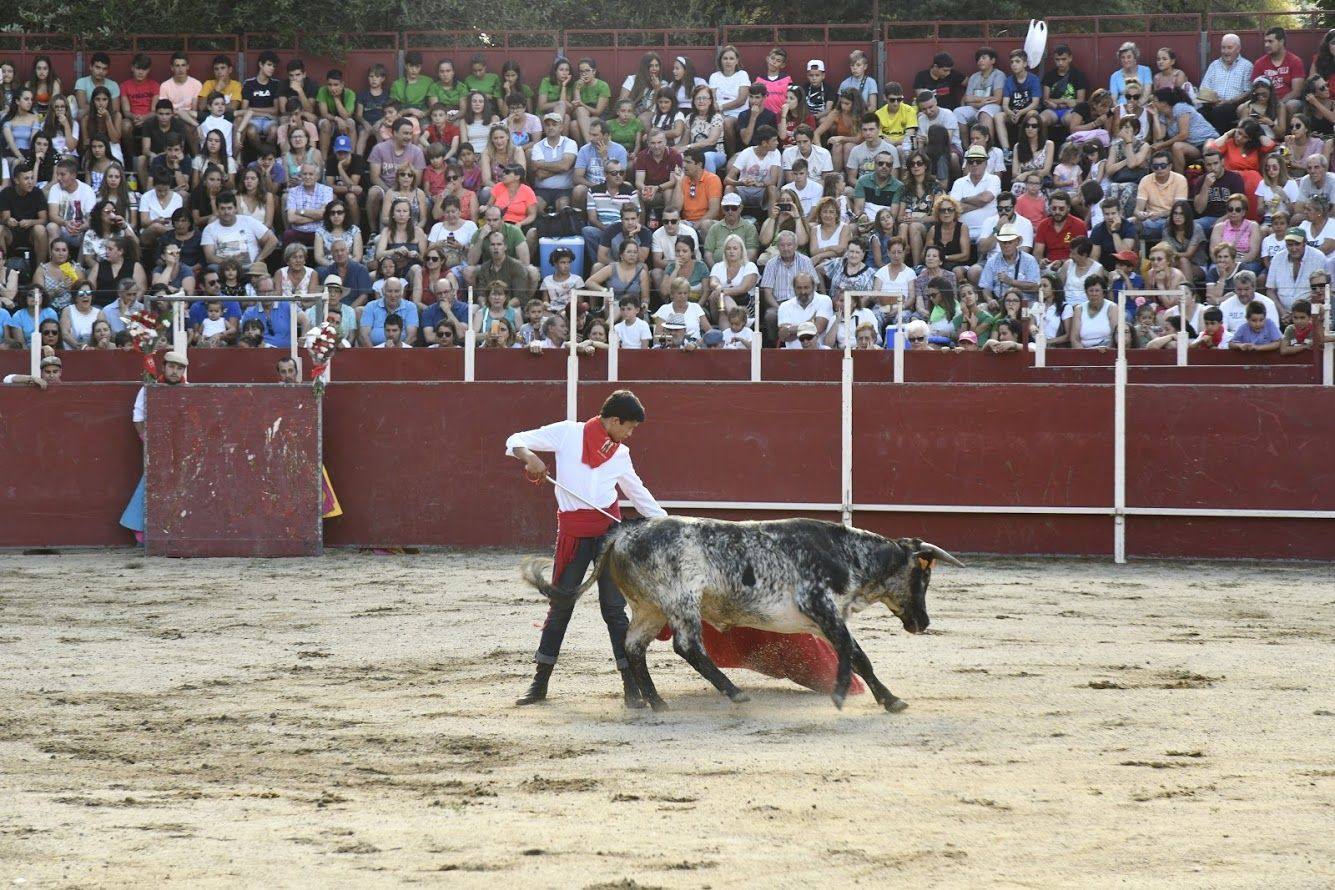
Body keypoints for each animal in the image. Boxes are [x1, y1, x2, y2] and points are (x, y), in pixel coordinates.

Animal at [517, 517, 961, 715]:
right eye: (923, 576)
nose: (924, 623)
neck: (847, 554)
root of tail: (625, 531)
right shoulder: (822, 608)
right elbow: (852, 655)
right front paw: (844, 696)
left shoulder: (826, 619)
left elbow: (858, 656)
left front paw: (889, 700)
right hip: (680, 602)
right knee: (687, 647)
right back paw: (733, 692)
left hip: (650, 608)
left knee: (633, 647)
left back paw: (656, 701)